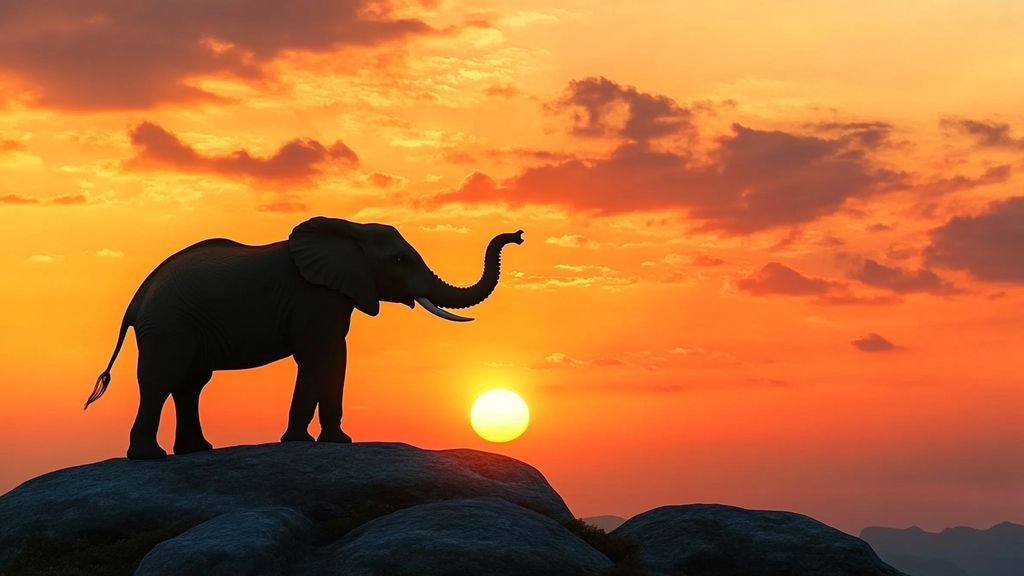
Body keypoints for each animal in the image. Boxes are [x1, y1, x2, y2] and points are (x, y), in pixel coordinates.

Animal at [84, 217, 524, 459]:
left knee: (190, 384)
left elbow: (324, 357)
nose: (518, 235)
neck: (348, 230)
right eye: (399, 260)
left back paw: (197, 451)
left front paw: (316, 441)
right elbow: (323, 355)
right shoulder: (315, 296)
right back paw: (148, 458)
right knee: (162, 380)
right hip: (169, 324)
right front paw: (325, 442)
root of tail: (137, 299)